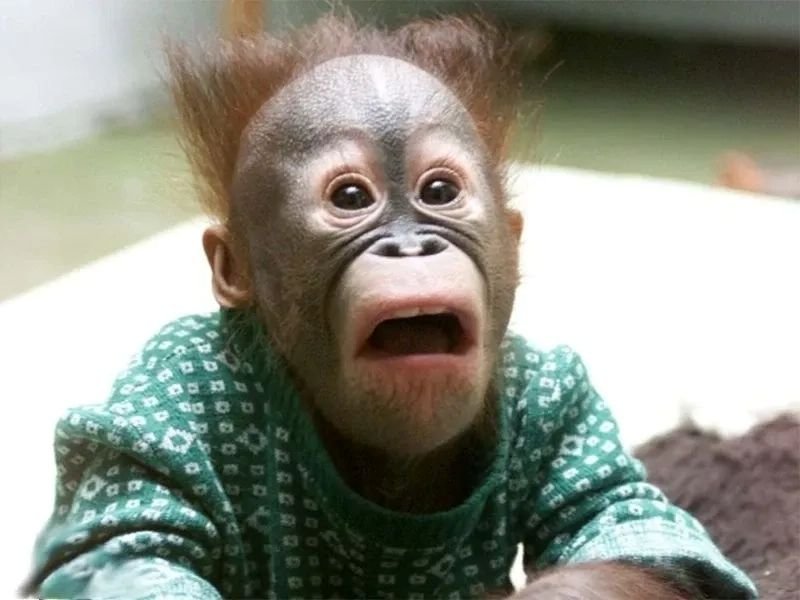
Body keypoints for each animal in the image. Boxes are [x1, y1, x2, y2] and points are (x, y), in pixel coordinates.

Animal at [23, 13, 756, 600]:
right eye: (351, 198)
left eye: (439, 191)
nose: (411, 245)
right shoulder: (169, 392)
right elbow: (124, 546)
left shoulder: (561, 397)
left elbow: (630, 521)